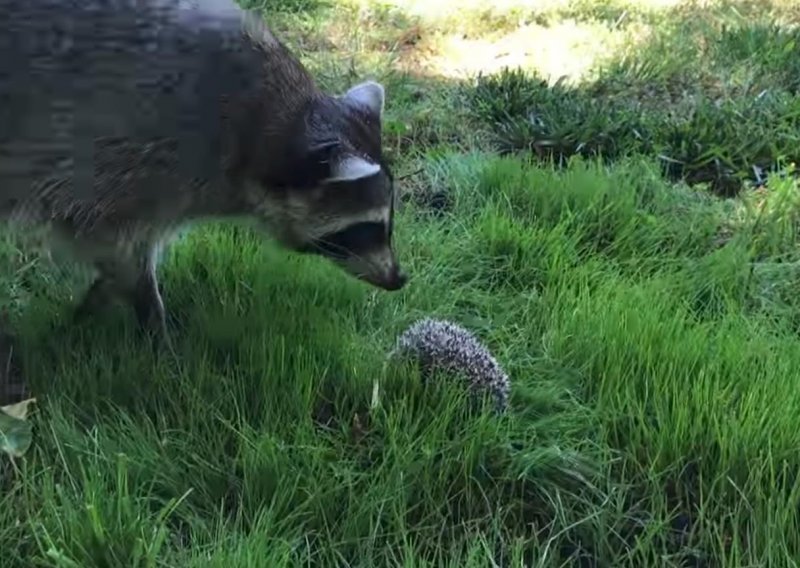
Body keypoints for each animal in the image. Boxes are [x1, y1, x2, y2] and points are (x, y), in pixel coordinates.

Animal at [0, 0, 406, 338]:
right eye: (365, 228)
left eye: (388, 222)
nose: (399, 279)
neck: (268, 122)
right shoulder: (126, 160)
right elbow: (111, 242)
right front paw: (149, 319)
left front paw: (96, 302)